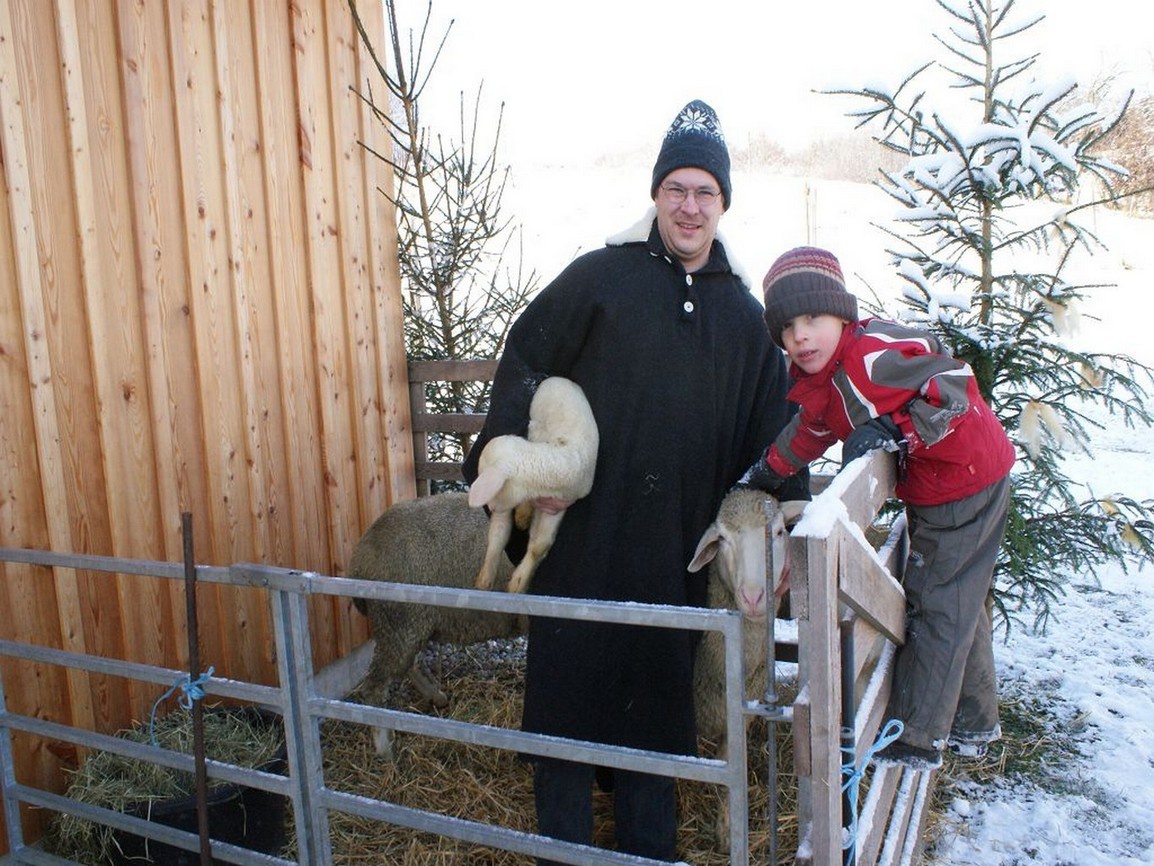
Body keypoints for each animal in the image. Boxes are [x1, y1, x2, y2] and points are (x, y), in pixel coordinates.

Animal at [347, 491, 523, 759]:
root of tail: (361, 556)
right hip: (399, 619)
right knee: (375, 686)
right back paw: (385, 750)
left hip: (408, 623)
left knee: (408, 664)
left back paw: (436, 697)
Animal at [468, 376, 599, 594]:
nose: (492, 508)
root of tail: (561, 379)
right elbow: (501, 533)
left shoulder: (559, 503)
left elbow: (540, 545)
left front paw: (518, 582)